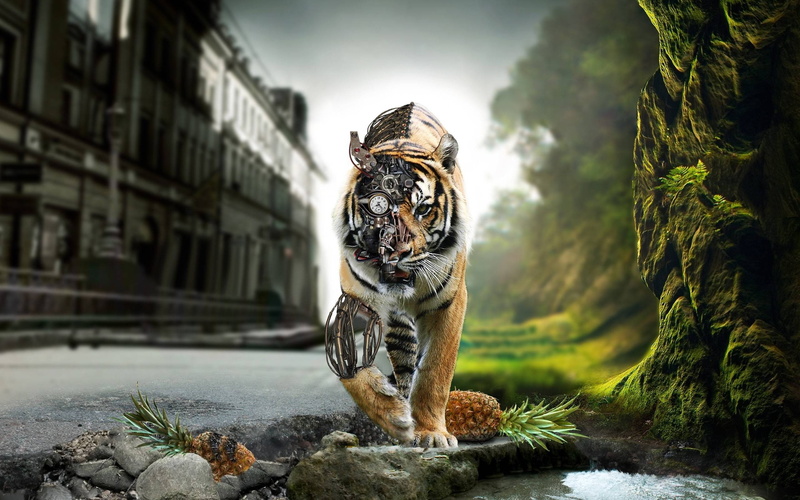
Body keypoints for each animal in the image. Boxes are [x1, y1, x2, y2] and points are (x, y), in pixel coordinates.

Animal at [333, 102, 471, 448]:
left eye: (423, 209)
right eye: (377, 208)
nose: (396, 252)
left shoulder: (449, 303)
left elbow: (435, 370)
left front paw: (432, 433)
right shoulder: (354, 303)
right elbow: (352, 369)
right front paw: (394, 416)